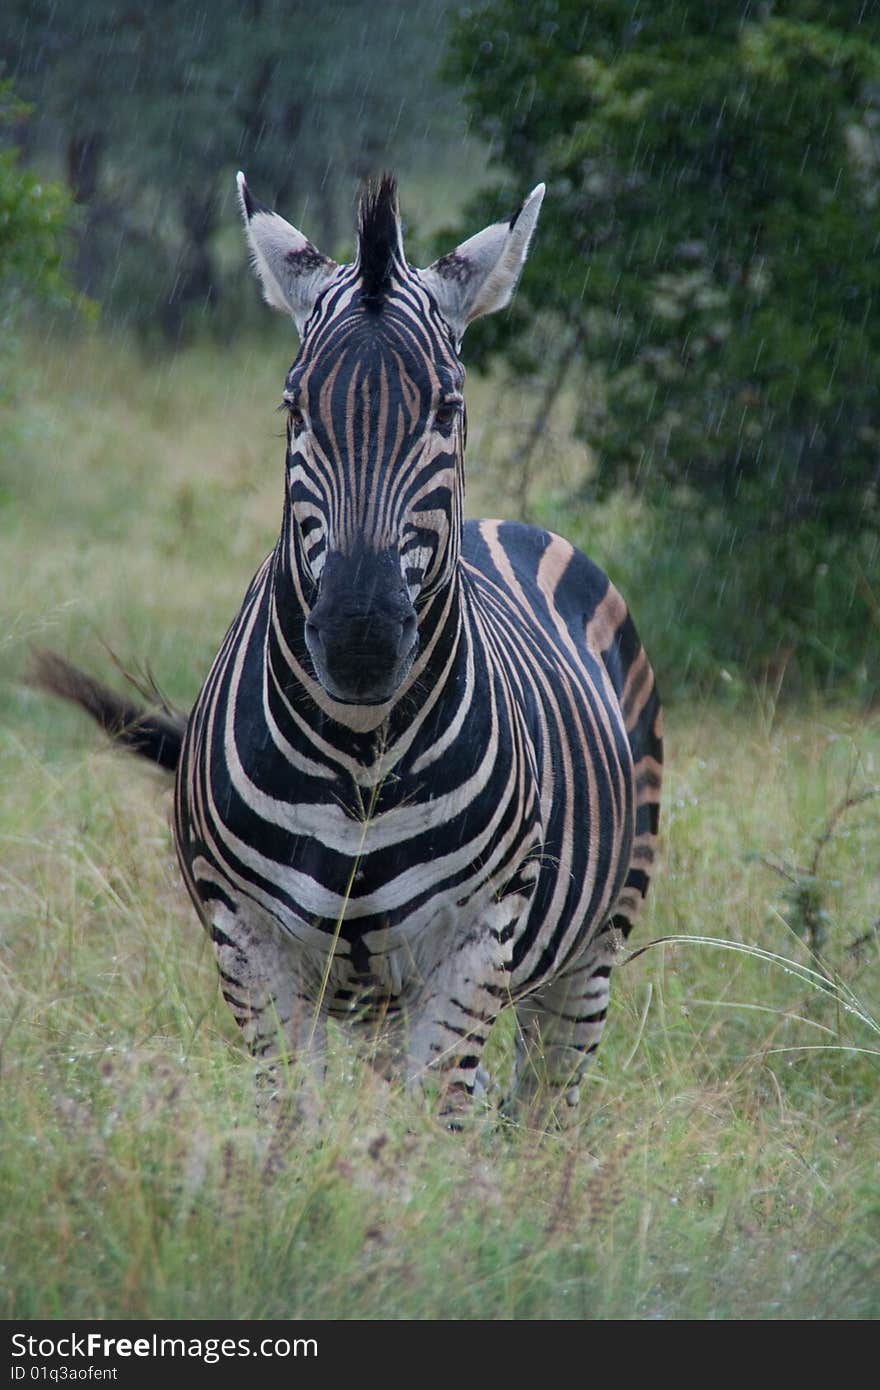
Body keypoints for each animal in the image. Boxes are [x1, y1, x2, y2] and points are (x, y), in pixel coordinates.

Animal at [34, 173, 658, 1128]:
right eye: (294, 407)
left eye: (447, 408)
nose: (361, 642)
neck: (361, 753)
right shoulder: (250, 941)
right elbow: (300, 1131)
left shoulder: (475, 942)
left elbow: (429, 1135)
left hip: (593, 945)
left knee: (543, 1107)